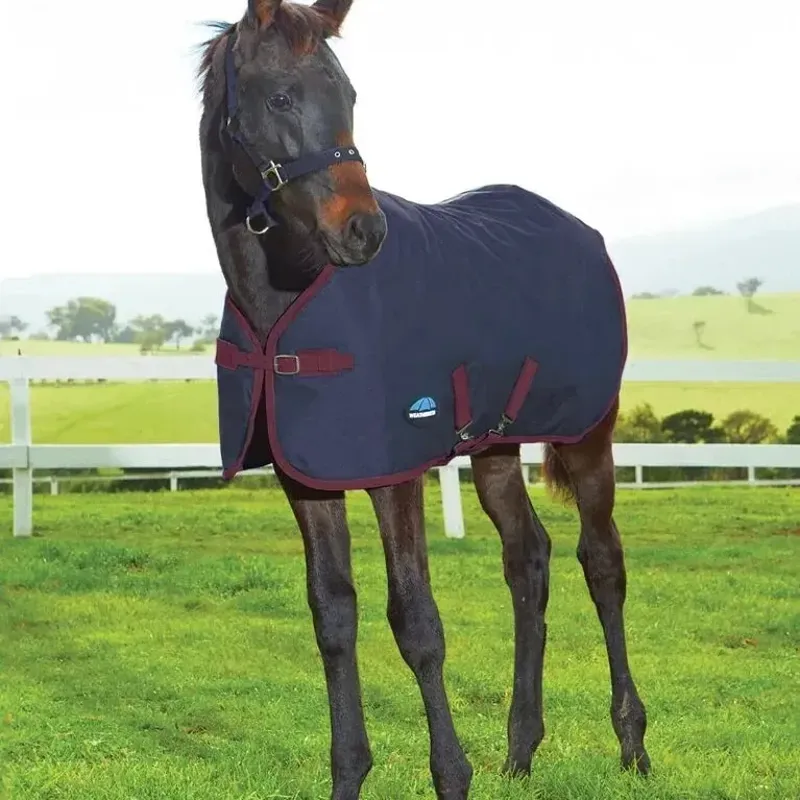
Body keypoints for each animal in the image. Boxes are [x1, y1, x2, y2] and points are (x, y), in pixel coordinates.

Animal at [197, 2, 650, 797]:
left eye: (349, 95)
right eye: (280, 97)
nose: (363, 231)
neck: (287, 296)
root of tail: (581, 230)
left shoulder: (393, 472)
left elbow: (415, 622)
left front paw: (451, 775)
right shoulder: (306, 477)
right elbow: (333, 617)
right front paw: (349, 774)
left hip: (588, 433)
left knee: (602, 562)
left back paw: (632, 744)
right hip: (497, 444)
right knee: (527, 560)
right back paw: (521, 751)